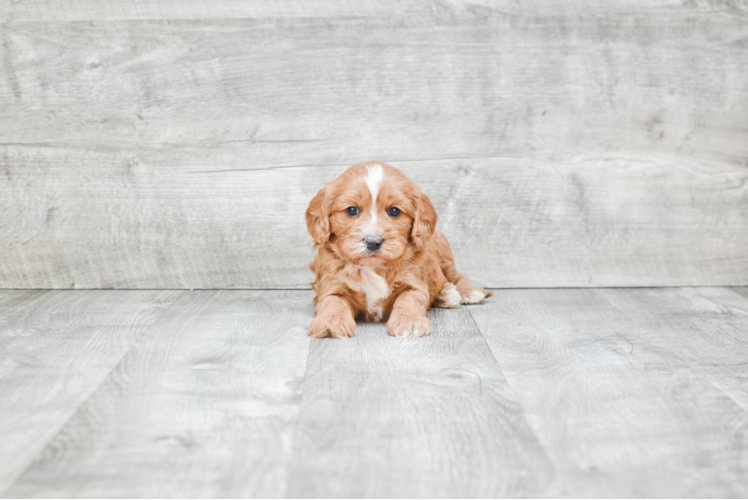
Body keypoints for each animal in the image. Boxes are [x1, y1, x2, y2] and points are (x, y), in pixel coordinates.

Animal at [304, 162, 490, 338]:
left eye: (394, 211)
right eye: (352, 210)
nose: (373, 242)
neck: (373, 267)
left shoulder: (414, 283)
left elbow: (409, 299)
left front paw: (409, 321)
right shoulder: (331, 285)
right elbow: (332, 301)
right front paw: (331, 322)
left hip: (444, 252)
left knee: (454, 275)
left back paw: (462, 292)